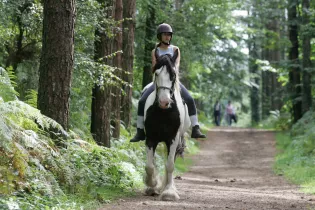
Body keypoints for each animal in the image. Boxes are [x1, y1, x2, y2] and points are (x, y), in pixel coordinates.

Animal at [144, 50, 191, 201]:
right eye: (156, 73)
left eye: (173, 75)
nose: (164, 102)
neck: (164, 112)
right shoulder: (151, 138)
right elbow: (150, 165)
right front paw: (152, 184)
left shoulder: (173, 138)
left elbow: (170, 165)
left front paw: (169, 192)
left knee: (170, 161)